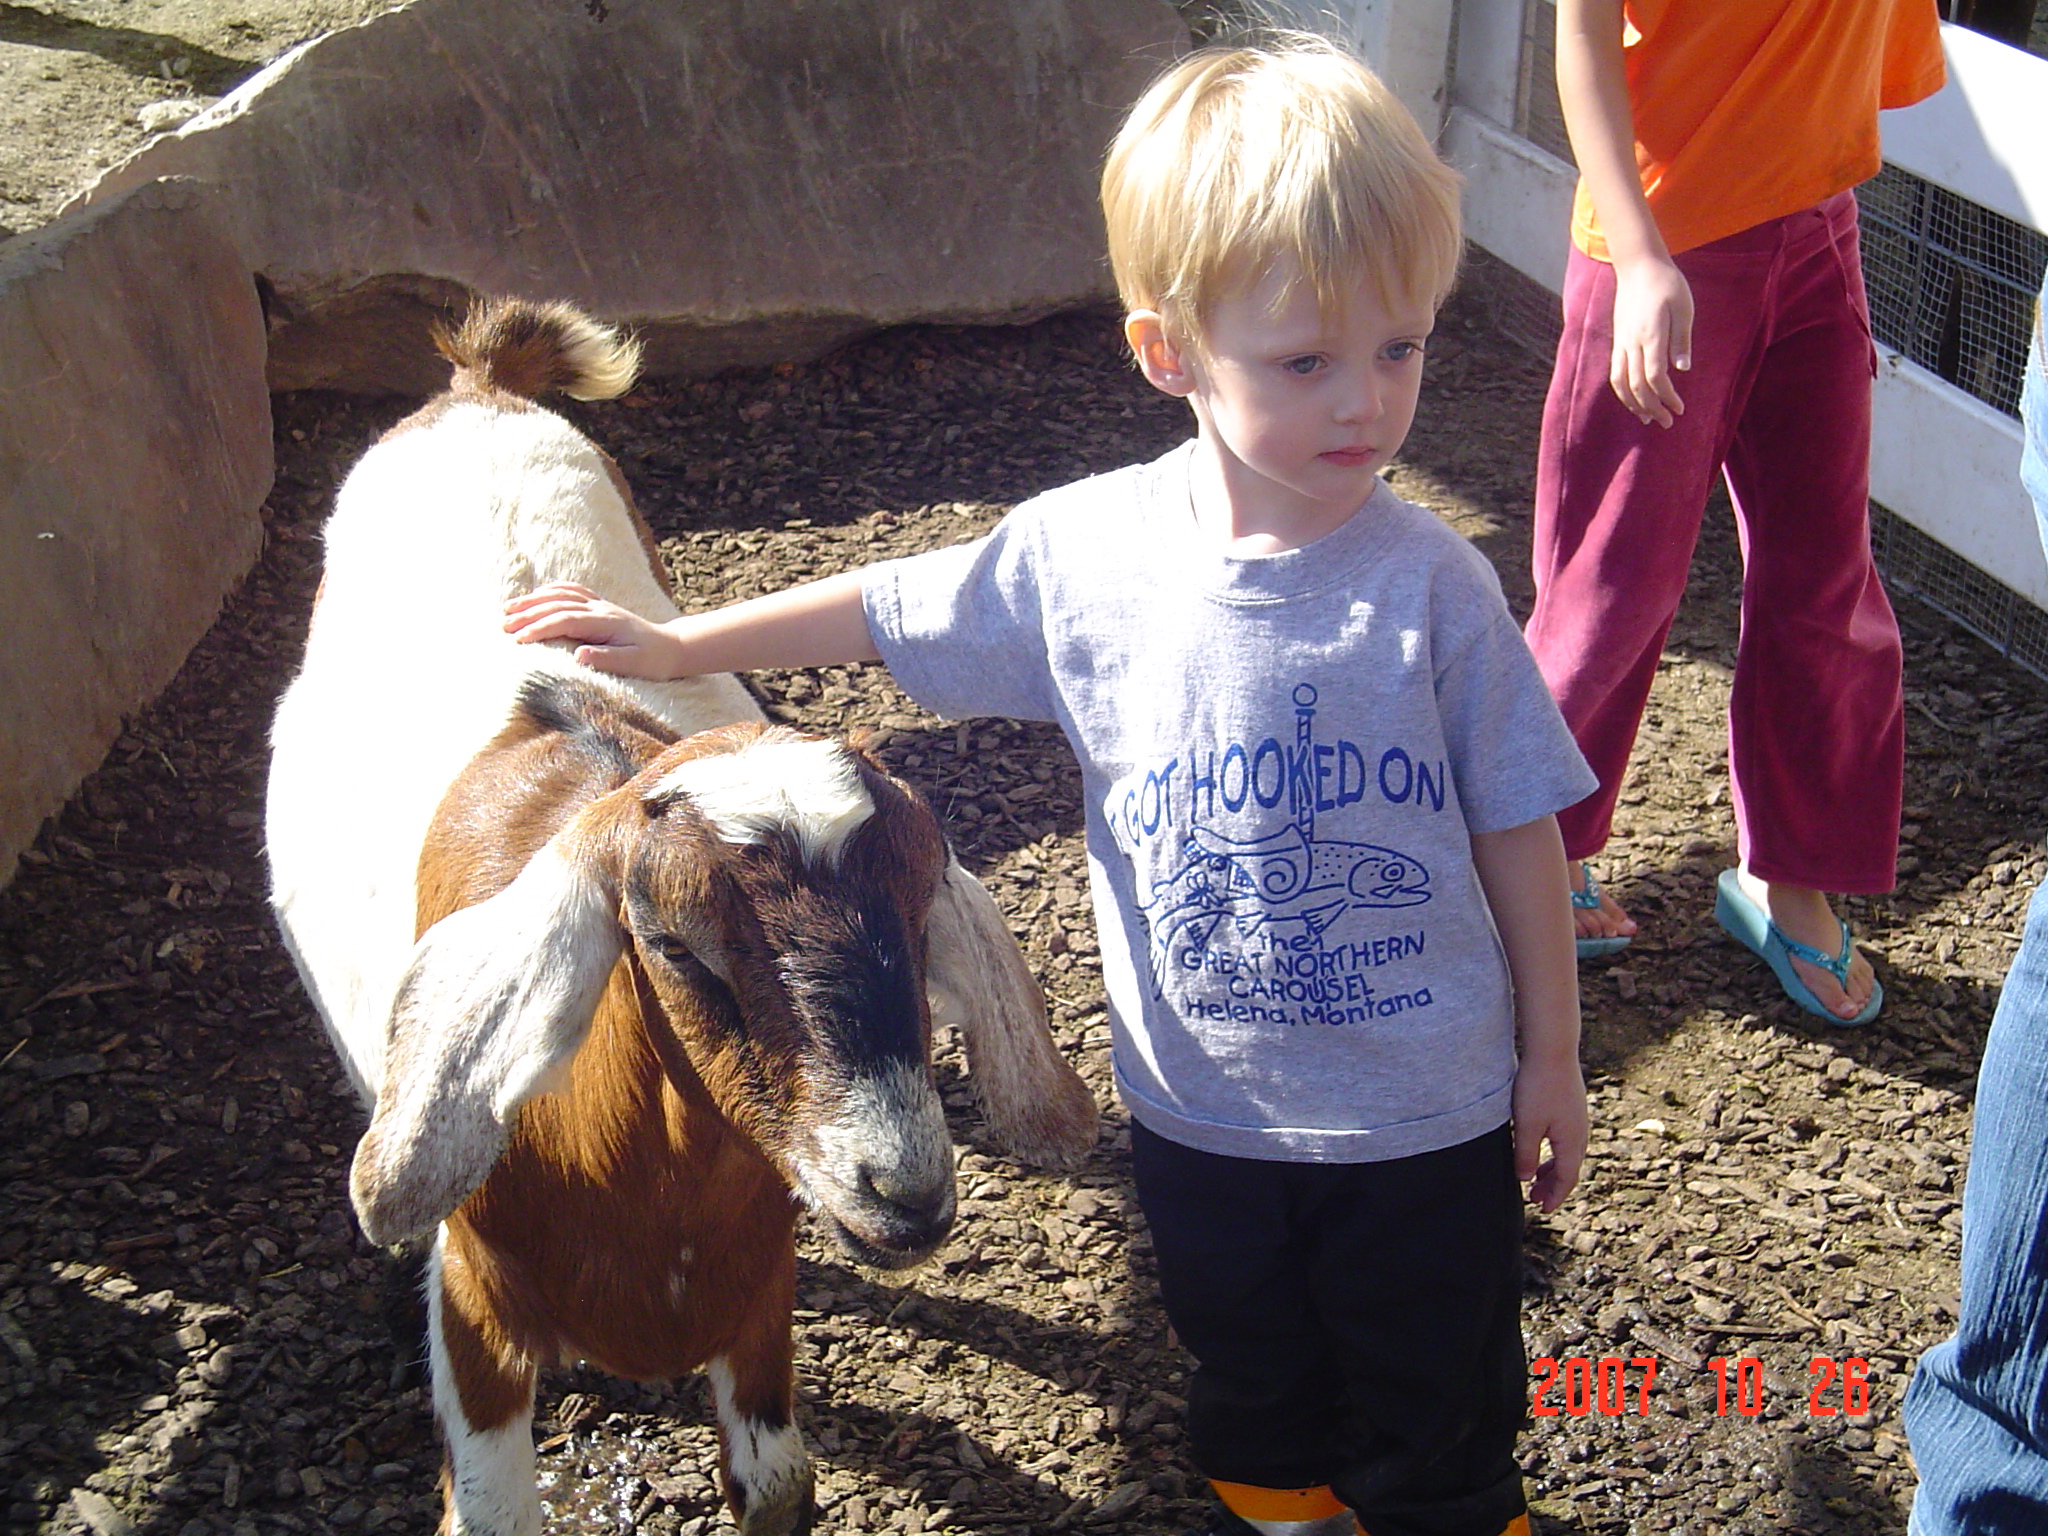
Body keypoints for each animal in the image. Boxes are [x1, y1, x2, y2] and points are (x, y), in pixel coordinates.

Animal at [265, 297, 1098, 1535]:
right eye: (667, 943)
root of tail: (476, 390)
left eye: (916, 911)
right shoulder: (473, 1308)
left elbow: (780, 1483)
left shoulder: (758, 1296)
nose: (901, 1191)